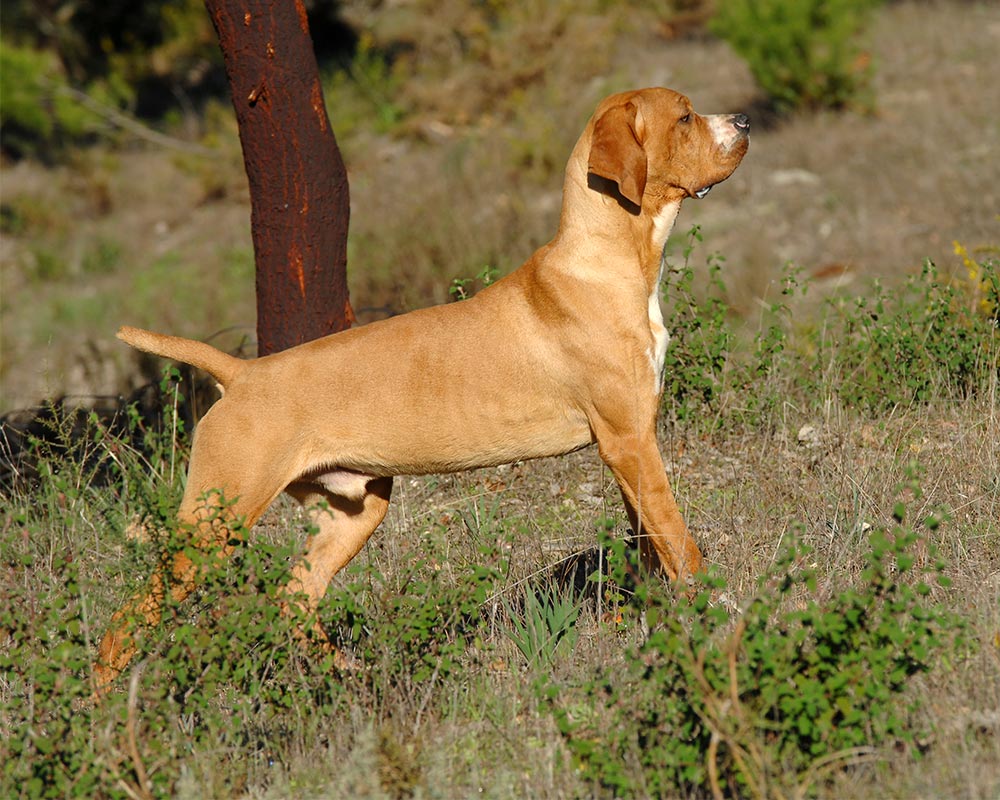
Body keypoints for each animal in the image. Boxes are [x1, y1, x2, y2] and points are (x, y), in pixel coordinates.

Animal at [95, 86, 752, 688]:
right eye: (685, 117)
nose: (744, 120)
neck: (611, 260)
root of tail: (243, 374)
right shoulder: (628, 440)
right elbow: (679, 539)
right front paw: (716, 606)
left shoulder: (628, 444)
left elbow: (650, 540)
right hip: (212, 524)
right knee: (124, 624)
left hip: (353, 511)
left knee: (296, 598)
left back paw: (348, 681)